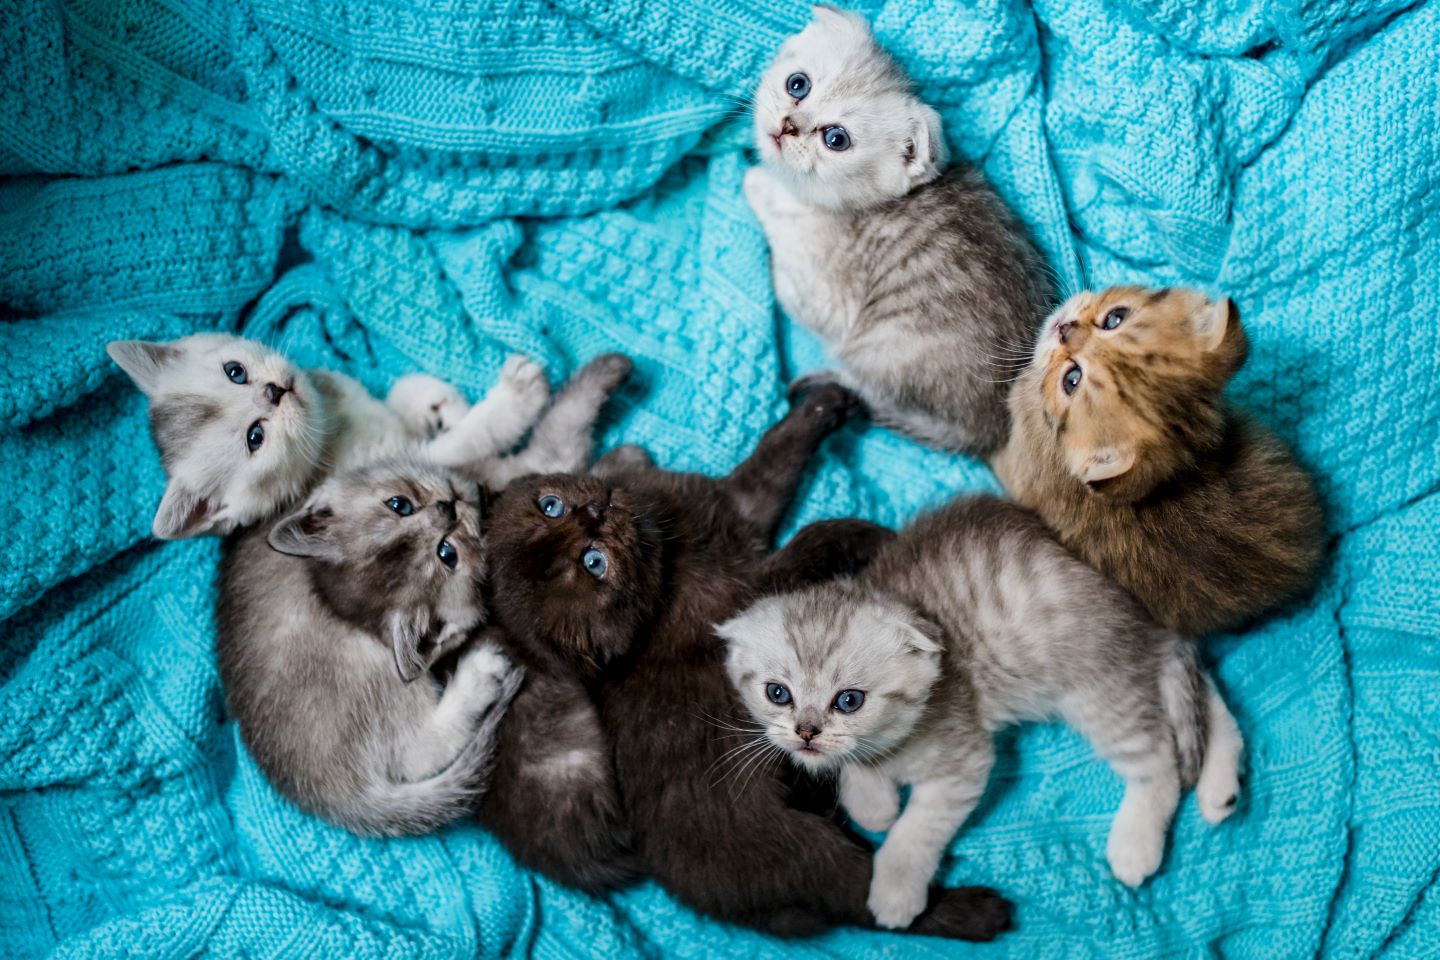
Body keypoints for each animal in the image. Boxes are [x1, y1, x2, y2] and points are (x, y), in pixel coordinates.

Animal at [218, 454, 524, 834]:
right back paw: (483, 672)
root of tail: (327, 794)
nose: (448, 508)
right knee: (420, 752)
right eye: (446, 553)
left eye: (400, 505)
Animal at [483, 385, 1013, 944]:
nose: (595, 511)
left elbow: (776, 455)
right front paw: (868, 534)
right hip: (806, 853)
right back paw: (977, 912)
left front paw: (824, 405)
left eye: (551, 506)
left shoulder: (736, 505)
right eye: (594, 563)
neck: (666, 557)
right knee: (862, 899)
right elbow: (808, 541)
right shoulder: (753, 591)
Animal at [725, 500, 1244, 926]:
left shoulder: (965, 762)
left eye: (849, 700)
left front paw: (895, 889)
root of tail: (1147, 609)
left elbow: (916, 830)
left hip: (1098, 692)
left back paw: (1135, 845)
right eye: (778, 693)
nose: (806, 731)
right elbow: (859, 770)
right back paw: (1221, 789)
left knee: (1161, 759)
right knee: (1198, 695)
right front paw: (873, 803)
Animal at [748, 4, 1054, 454]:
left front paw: (756, 184)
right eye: (797, 85)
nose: (788, 125)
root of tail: (993, 426)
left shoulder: (825, 296)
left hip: (879, 347)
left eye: (835, 139)